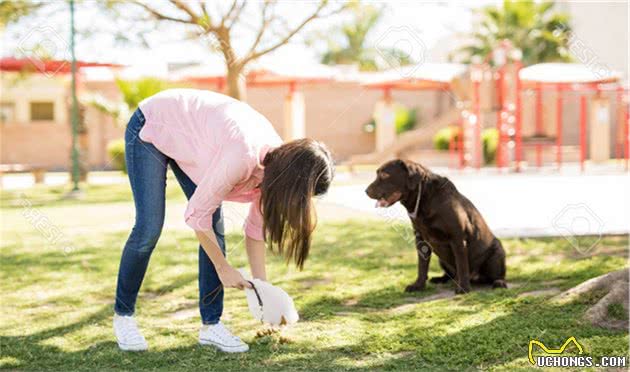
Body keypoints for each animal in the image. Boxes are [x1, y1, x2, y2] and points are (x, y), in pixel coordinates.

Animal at [366, 160, 508, 294]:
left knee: (497, 275)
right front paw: (418, 285)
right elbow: (422, 266)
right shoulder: (421, 240)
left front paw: (463, 288)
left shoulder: (458, 238)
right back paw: (440, 279)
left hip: (497, 252)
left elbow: (462, 265)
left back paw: (498, 282)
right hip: (441, 259)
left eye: (384, 175)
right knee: (450, 275)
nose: (366, 191)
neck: (424, 200)